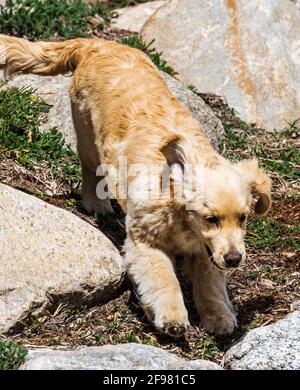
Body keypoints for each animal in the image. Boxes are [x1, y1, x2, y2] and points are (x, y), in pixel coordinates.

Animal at [0, 35, 272, 336]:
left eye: (243, 217)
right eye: (210, 218)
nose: (235, 258)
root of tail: (97, 43)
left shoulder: (207, 248)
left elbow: (210, 281)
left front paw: (219, 316)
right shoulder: (145, 242)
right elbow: (164, 279)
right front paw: (172, 317)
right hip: (87, 133)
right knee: (90, 168)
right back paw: (97, 203)